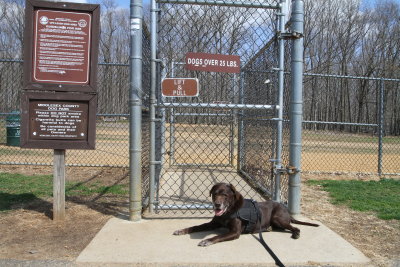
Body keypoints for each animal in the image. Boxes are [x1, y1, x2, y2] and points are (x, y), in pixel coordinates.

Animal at [173, 183, 318, 248]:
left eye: (224, 195)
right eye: (214, 194)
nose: (217, 205)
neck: (228, 211)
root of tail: (286, 210)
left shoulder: (235, 232)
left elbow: (218, 236)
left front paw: (207, 240)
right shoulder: (212, 223)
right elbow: (197, 226)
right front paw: (182, 230)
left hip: (277, 218)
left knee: (295, 227)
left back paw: (295, 234)